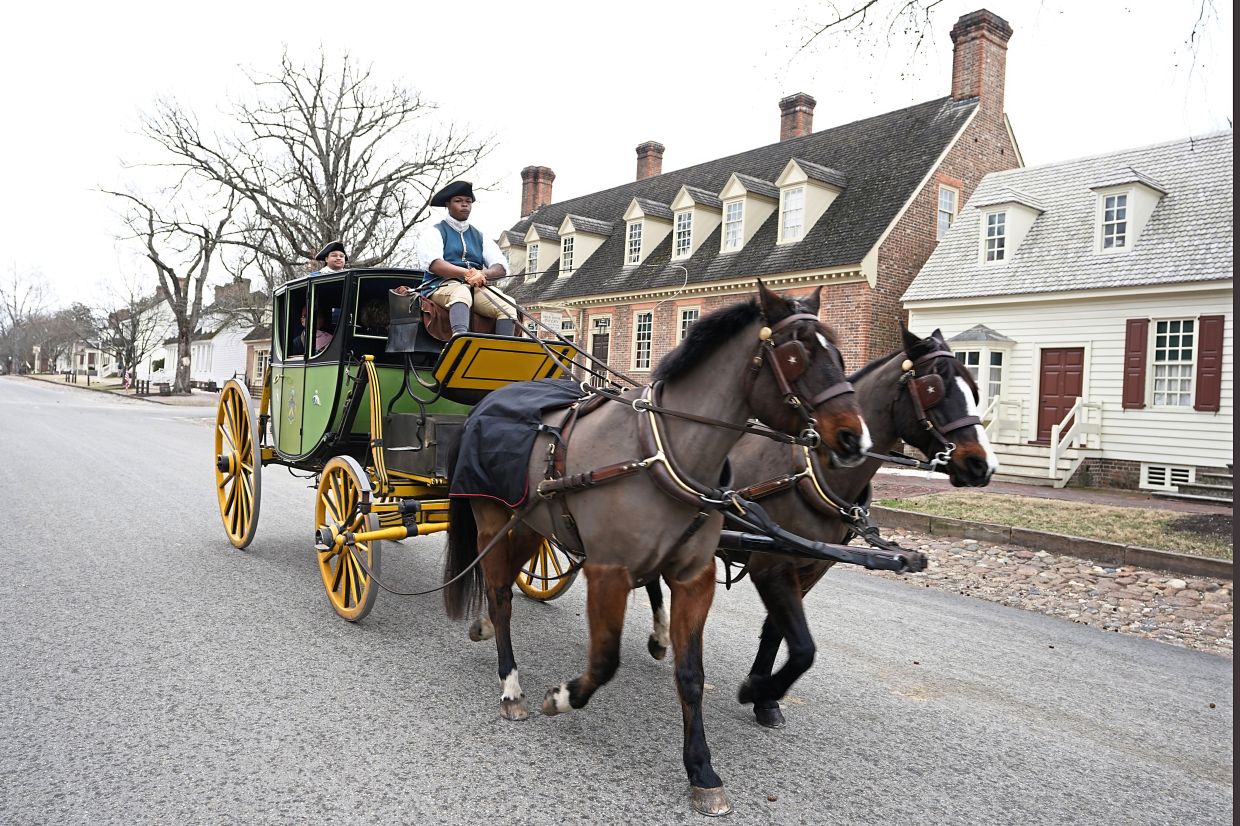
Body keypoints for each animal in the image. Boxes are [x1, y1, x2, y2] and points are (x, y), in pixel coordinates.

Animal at [446, 281, 872, 808]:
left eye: (838, 353)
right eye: (795, 355)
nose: (855, 438)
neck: (660, 453)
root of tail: (485, 403)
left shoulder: (694, 577)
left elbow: (691, 675)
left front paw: (702, 769)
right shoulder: (608, 570)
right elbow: (604, 661)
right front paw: (561, 698)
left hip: (529, 527)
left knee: (502, 581)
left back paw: (485, 627)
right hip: (493, 520)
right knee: (501, 594)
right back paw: (510, 684)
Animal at [644, 322, 992, 719]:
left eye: (974, 389)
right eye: (934, 388)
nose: (981, 465)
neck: (812, 474)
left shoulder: (810, 566)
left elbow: (779, 632)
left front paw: (764, 696)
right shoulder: (772, 564)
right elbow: (803, 647)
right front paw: (757, 688)